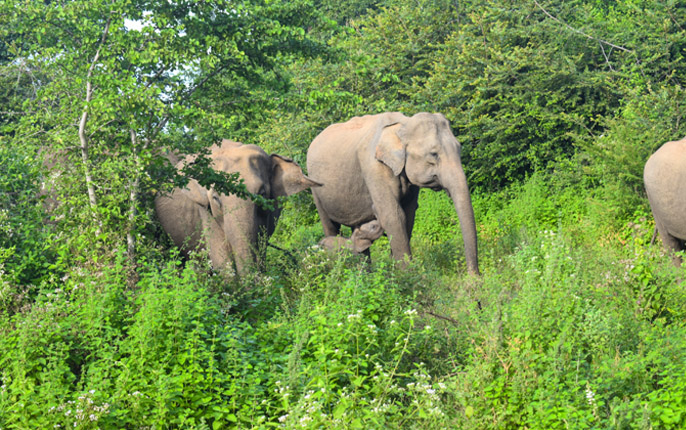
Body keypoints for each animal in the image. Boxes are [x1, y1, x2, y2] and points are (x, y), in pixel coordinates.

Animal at [306, 112, 479, 274]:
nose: (473, 277)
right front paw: (409, 276)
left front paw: (394, 271)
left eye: (459, 148)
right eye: (433, 154)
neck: (402, 124)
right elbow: (393, 215)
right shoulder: (374, 166)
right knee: (330, 225)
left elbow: (408, 214)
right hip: (315, 187)